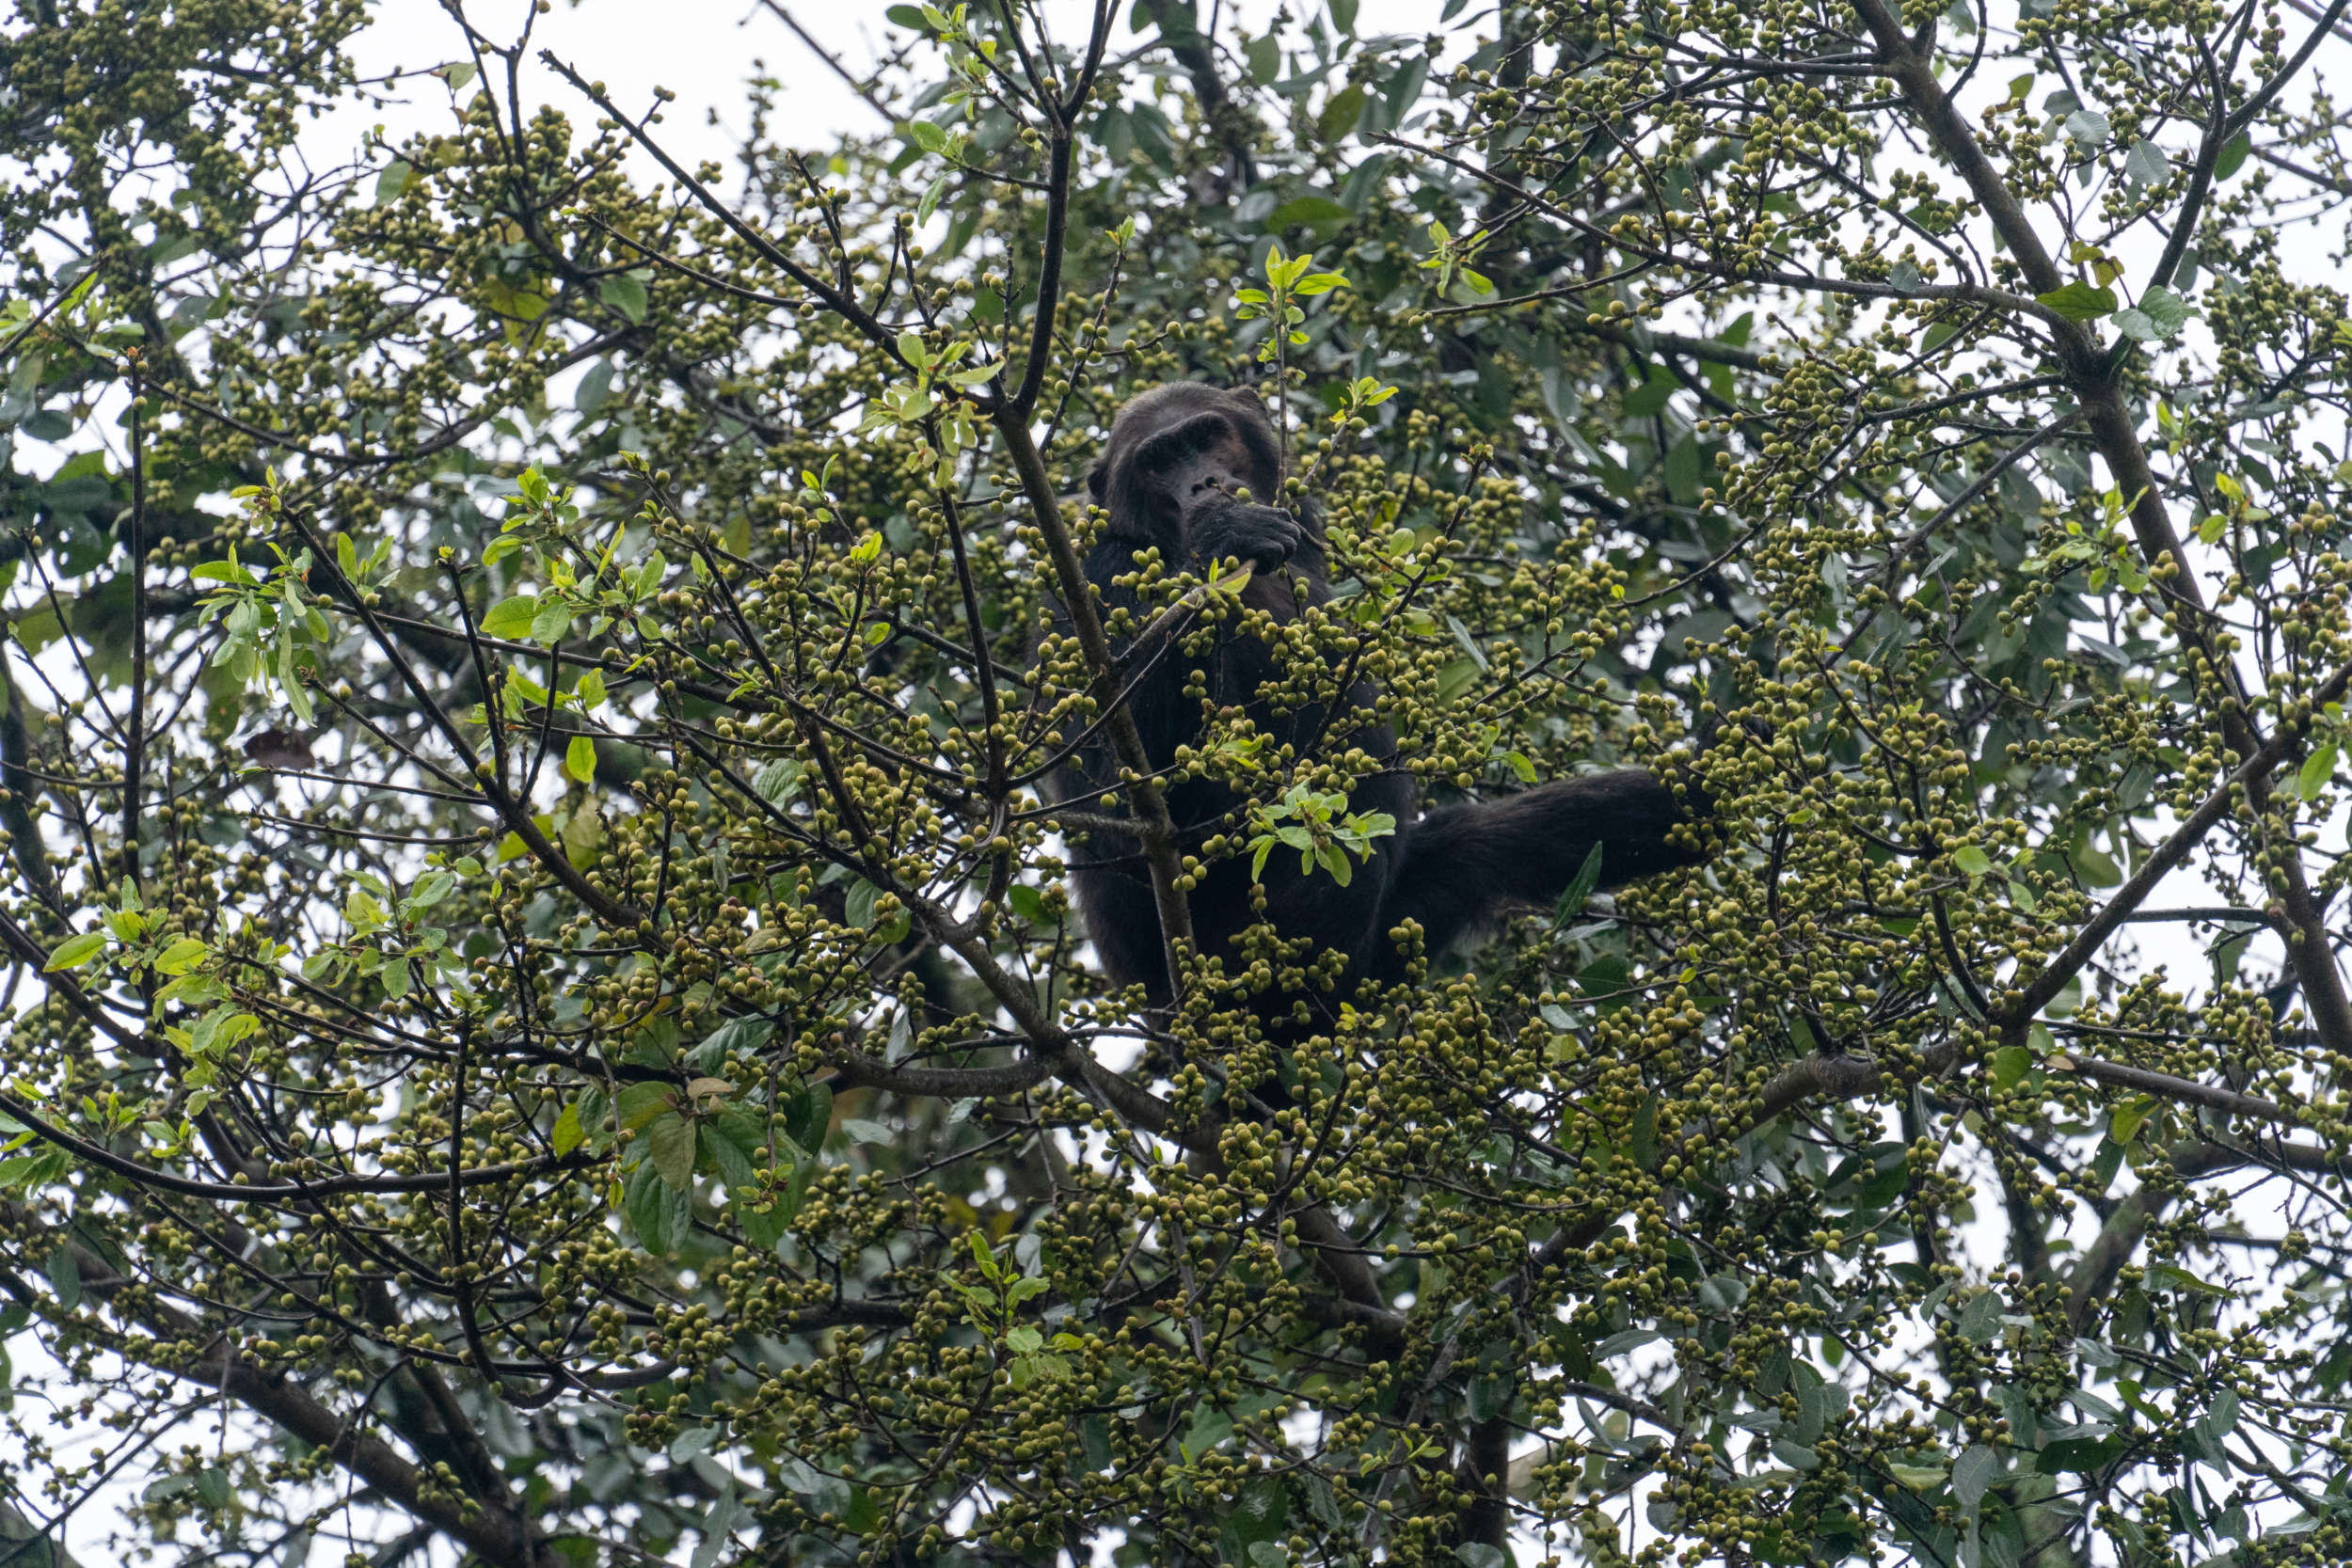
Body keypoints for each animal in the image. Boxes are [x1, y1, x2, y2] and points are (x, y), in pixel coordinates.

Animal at [1058, 385, 1703, 1010]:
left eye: (1206, 435)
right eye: (1159, 461)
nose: (1202, 483)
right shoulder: (1096, 582)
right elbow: (1128, 795)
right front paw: (1223, 536)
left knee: (1489, 841)